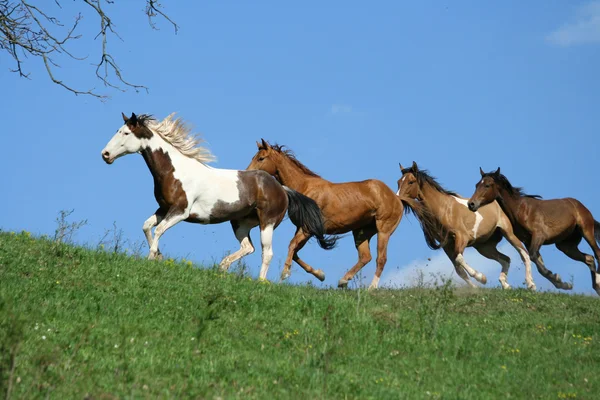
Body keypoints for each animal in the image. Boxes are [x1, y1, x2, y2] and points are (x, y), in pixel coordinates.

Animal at [100, 111, 336, 282]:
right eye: (118, 130)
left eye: (126, 134)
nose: (105, 155)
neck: (174, 171)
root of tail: (282, 188)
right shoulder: (163, 209)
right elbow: (147, 226)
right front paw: (158, 256)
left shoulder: (180, 212)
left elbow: (158, 230)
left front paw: (152, 258)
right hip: (240, 223)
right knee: (248, 247)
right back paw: (223, 267)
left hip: (266, 223)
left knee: (266, 253)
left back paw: (261, 282)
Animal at [246, 139, 406, 290]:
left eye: (261, 158)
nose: (248, 174)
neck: (304, 187)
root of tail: (396, 198)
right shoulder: (303, 229)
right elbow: (296, 252)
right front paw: (320, 274)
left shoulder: (307, 229)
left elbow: (292, 246)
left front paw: (285, 274)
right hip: (361, 232)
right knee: (365, 257)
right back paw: (343, 281)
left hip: (383, 231)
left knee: (381, 259)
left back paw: (371, 288)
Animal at [398, 162, 536, 290]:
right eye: (398, 182)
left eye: (411, 182)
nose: (399, 199)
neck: (444, 209)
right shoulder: (447, 245)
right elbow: (459, 269)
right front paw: (475, 288)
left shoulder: (461, 237)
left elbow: (459, 259)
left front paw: (481, 278)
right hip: (484, 247)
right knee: (505, 259)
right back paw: (505, 285)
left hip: (508, 233)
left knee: (524, 254)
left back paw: (530, 284)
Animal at [468, 168, 600, 294]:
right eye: (476, 185)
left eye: (487, 185)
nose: (471, 204)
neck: (522, 210)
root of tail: (579, 205)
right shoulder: (528, 241)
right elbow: (538, 262)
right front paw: (561, 283)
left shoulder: (539, 236)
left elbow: (532, 257)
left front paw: (533, 284)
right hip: (566, 246)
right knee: (589, 258)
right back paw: (596, 287)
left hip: (586, 231)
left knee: (597, 253)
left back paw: (598, 283)